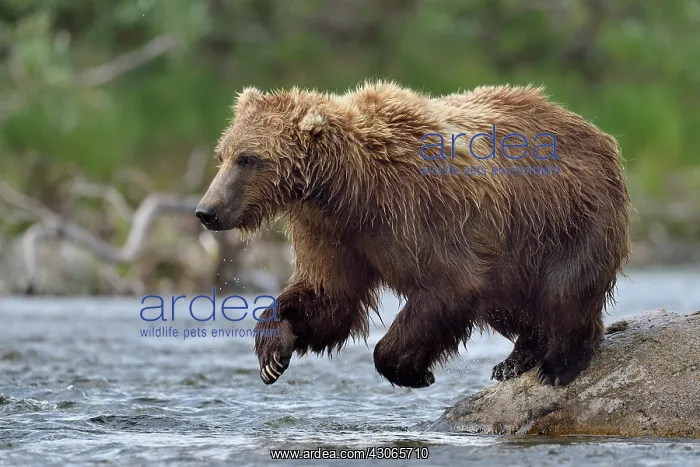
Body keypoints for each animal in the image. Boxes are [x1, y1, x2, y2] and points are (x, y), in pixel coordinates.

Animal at [195, 80, 630, 389]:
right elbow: (328, 295)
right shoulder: (331, 231)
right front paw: (273, 353)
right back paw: (515, 360)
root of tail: (595, 131)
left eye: (248, 158)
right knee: (508, 301)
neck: (350, 190)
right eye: (222, 154)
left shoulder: (419, 211)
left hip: (567, 216)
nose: (206, 211)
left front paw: (413, 371)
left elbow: (450, 285)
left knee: (563, 289)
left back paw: (559, 363)